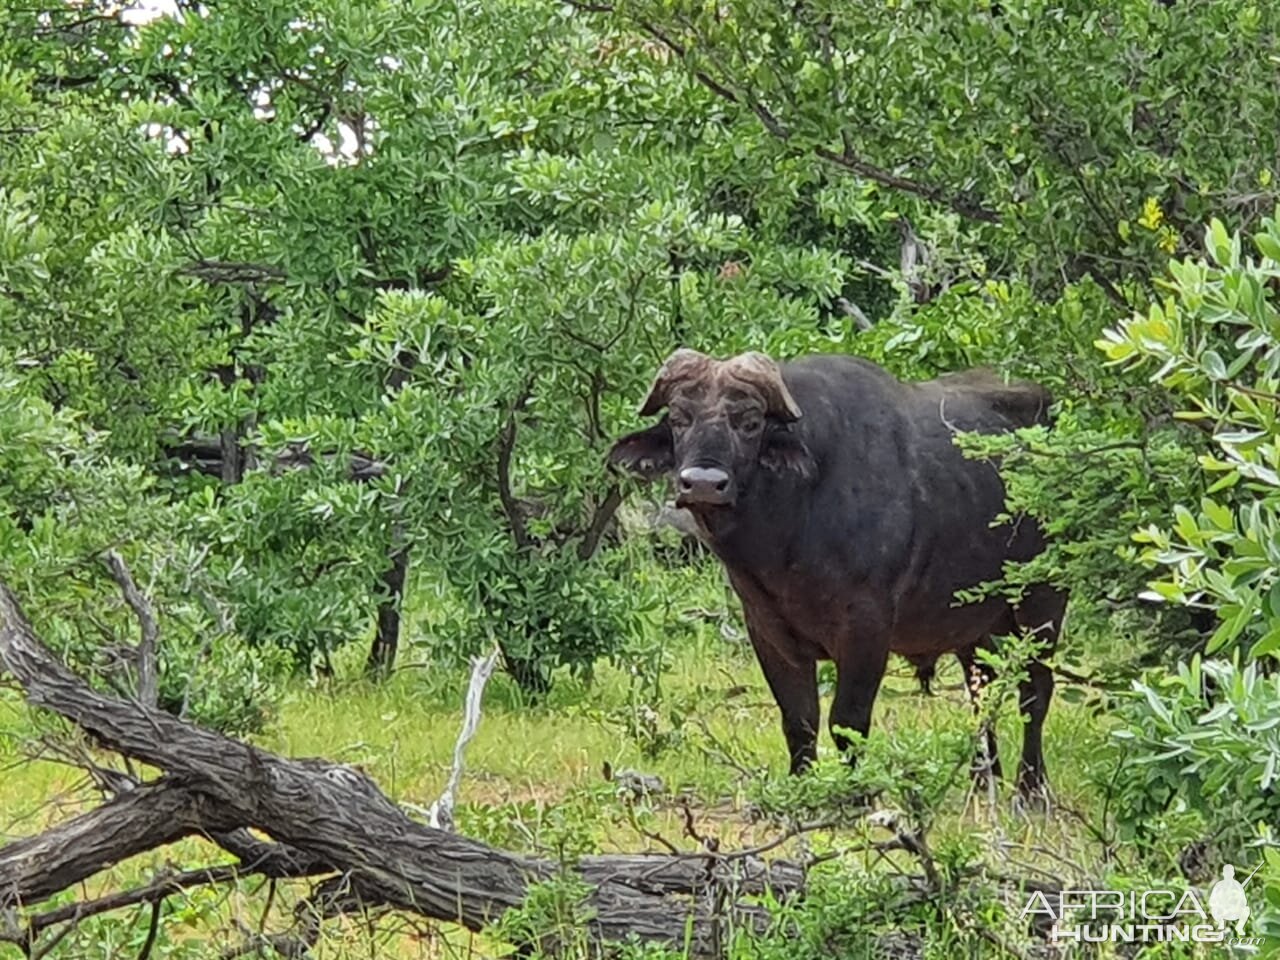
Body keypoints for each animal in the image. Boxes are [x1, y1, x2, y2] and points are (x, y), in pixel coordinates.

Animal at [604, 350, 1064, 798]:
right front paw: (801, 789)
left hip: (1042, 600)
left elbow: (848, 721)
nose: (702, 483)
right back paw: (983, 778)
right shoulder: (766, 629)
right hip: (972, 620)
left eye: (751, 423)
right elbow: (799, 719)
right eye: (679, 419)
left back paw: (1030, 788)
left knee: (1034, 690)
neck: (790, 530)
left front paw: (855, 795)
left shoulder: (866, 627)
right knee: (981, 687)